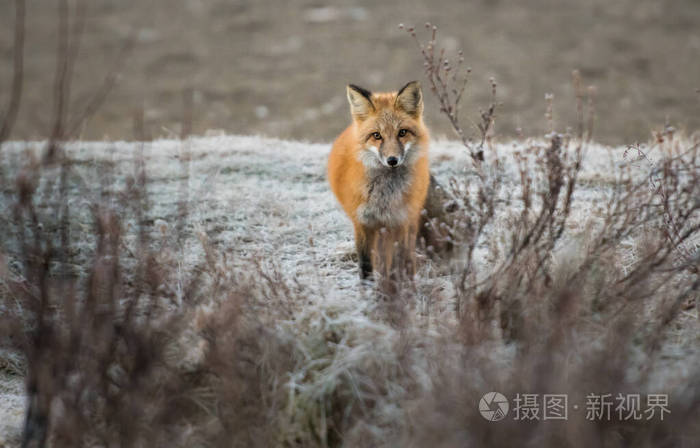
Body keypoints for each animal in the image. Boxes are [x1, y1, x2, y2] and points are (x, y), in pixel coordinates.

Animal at [330, 79, 432, 278]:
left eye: (402, 132)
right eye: (376, 135)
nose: (392, 160)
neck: (385, 198)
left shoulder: (401, 221)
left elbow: (399, 262)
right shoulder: (362, 222)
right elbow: (366, 265)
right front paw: (367, 286)